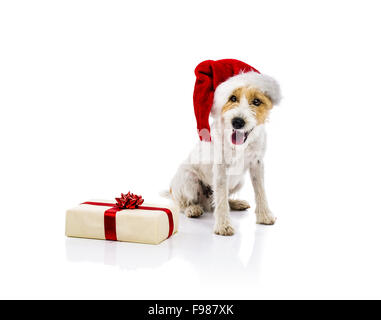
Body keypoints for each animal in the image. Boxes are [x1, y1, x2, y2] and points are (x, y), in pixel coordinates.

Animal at [166, 59, 280, 235]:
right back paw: (192, 209)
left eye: (256, 102)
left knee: (218, 201)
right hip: (188, 179)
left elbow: (260, 190)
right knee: (184, 203)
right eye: (232, 98)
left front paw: (264, 215)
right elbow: (220, 197)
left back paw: (236, 203)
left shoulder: (257, 163)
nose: (237, 122)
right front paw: (223, 225)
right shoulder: (220, 168)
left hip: (239, 181)